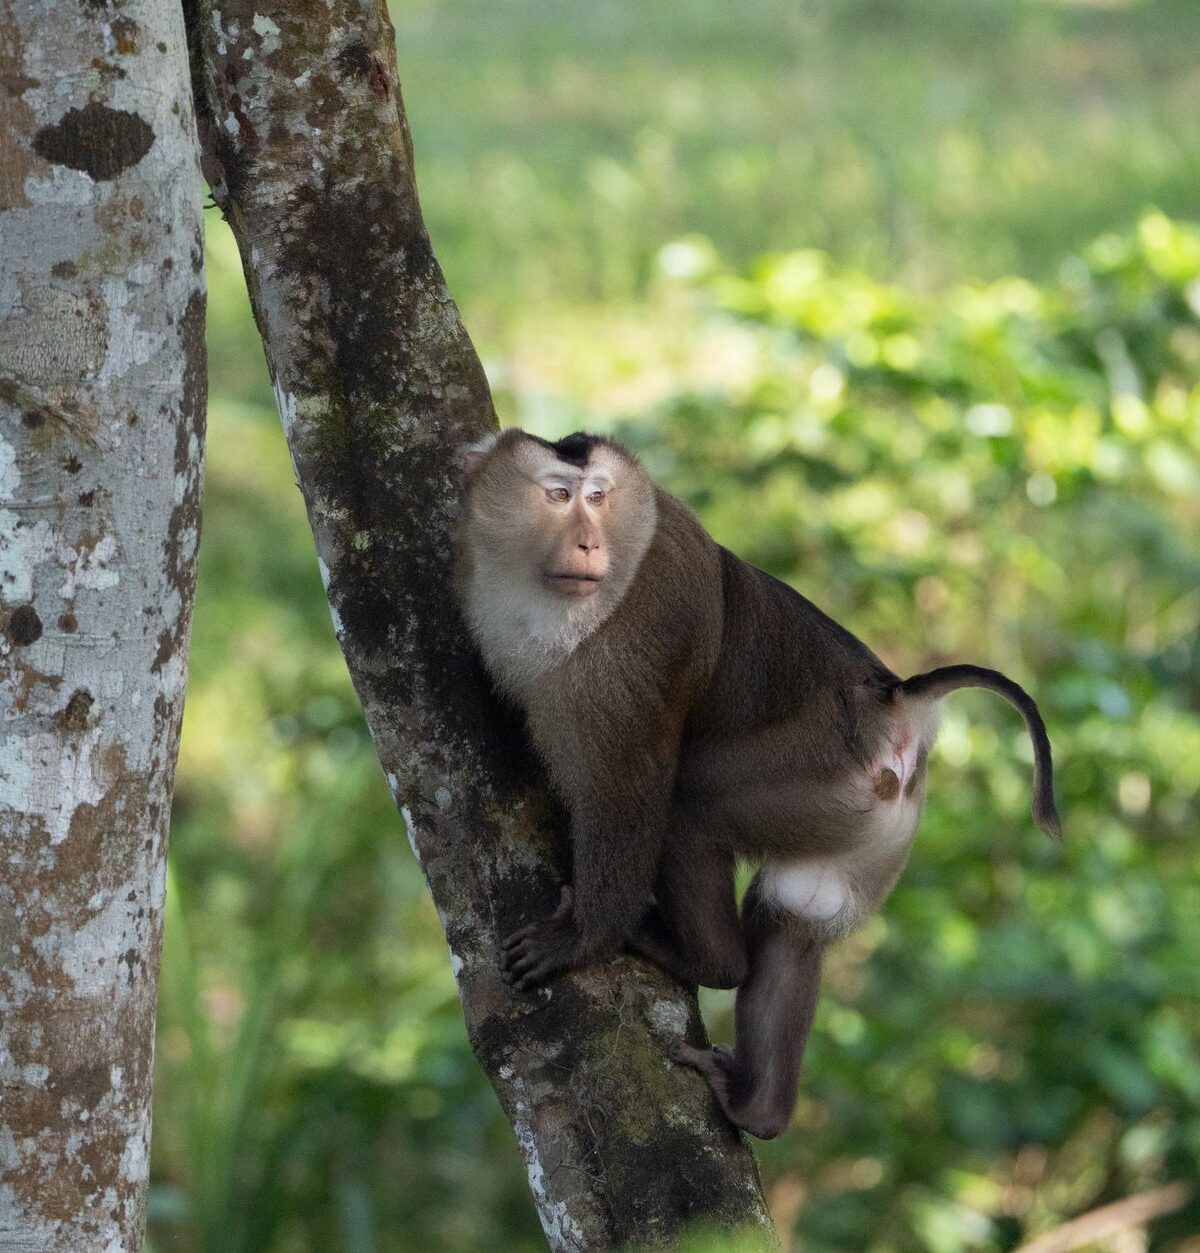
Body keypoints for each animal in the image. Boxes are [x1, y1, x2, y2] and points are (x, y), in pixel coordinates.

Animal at [457, 427, 1060, 1140]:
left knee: (686, 807)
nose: (587, 543)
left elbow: (631, 783)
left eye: (598, 498)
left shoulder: (633, 643)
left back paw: (710, 963)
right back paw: (760, 1107)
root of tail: (893, 701)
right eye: (558, 496)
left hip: (820, 766)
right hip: (873, 818)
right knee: (798, 913)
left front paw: (585, 937)